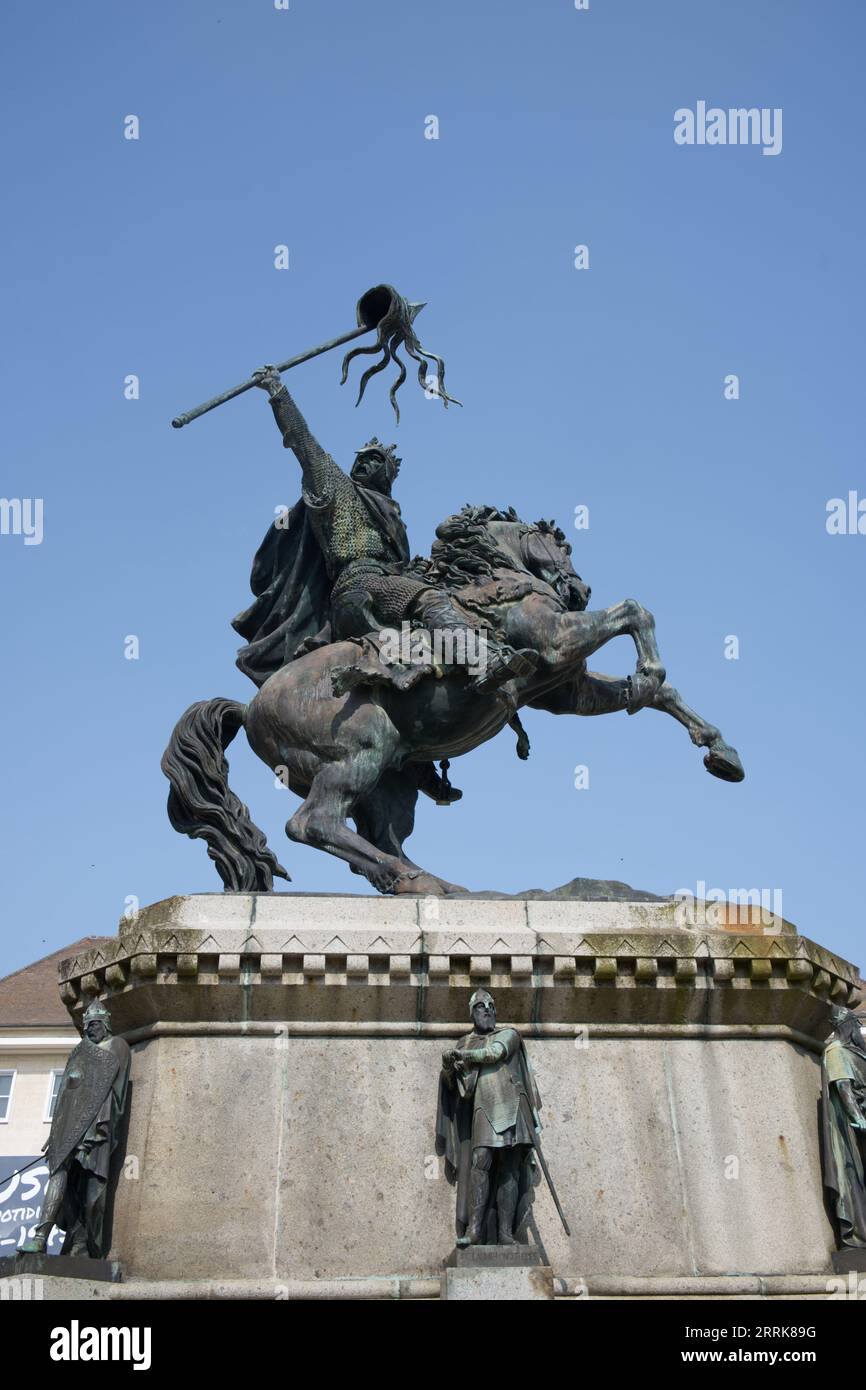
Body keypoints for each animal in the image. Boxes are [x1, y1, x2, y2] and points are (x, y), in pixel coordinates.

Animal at [162, 505, 745, 895]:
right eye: (560, 547)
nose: (579, 591)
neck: (493, 583)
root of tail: (252, 707)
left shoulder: (564, 687)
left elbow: (653, 691)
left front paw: (719, 750)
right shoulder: (557, 640)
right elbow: (634, 611)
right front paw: (650, 669)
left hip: (390, 783)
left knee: (376, 833)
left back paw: (430, 884)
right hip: (361, 750)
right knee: (313, 823)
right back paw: (410, 878)